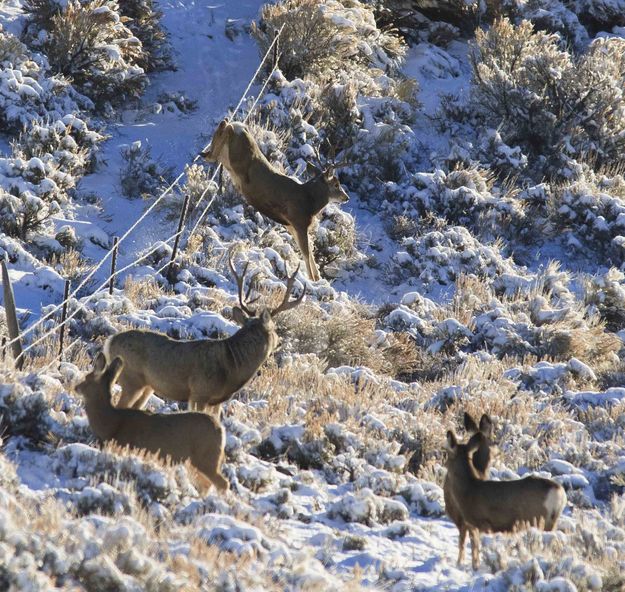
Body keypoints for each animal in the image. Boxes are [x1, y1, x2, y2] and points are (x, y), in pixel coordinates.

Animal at [73, 354, 229, 492]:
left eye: (87, 378)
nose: (75, 387)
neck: (112, 422)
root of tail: (220, 429)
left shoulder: (123, 448)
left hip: (207, 457)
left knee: (222, 483)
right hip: (194, 463)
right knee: (206, 484)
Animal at [103, 252, 304, 414]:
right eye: (275, 329)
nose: (279, 342)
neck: (232, 367)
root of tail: (109, 343)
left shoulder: (216, 401)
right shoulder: (200, 393)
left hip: (147, 386)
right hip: (131, 378)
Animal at [200, 119, 348, 282]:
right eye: (336, 184)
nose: (346, 197)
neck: (310, 202)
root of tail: (237, 126)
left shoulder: (290, 225)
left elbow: (308, 250)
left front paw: (317, 277)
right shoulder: (299, 221)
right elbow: (306, 252)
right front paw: (312, 280)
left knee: (222, 131)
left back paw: (205, 151)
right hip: (236, 155)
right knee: (223, 131)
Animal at [444, 428, 564, 572]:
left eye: (447, 454)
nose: (444, 464)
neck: (467, 488)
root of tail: (559, 492)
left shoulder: (473, 522)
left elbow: (473, 547)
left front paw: (472, 566)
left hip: (540, 520)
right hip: (551, 521)